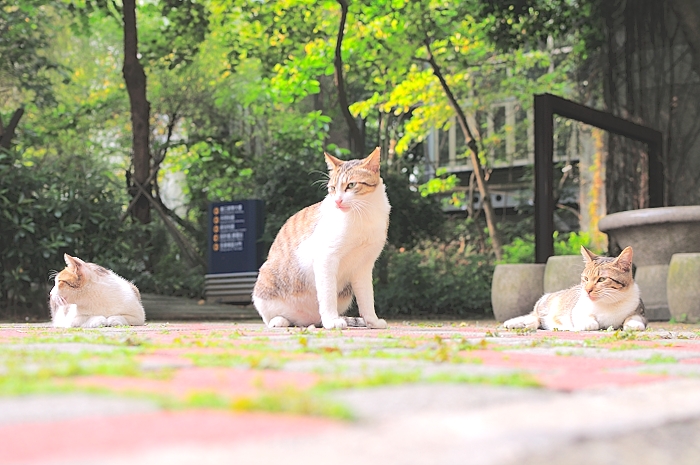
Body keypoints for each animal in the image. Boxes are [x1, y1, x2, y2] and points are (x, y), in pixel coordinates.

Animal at [504, 245, 644, 332]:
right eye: (586, 278)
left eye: (602, 279)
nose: (587, 290)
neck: (608, 303)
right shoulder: (576, 310)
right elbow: (588, 320)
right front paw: (588, 323)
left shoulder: (638, 309)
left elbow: (634, 317)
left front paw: (634, 324)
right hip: (544, 302)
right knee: (534, 316)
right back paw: (521, 322)